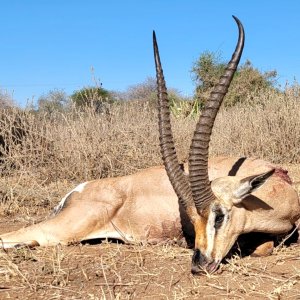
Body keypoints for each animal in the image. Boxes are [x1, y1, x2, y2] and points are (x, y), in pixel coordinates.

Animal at [0, 16, 300, 274]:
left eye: (219, 216)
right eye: (191, 218)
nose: (199, 264)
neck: (278, 185)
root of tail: (77, 190)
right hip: (62, 229)